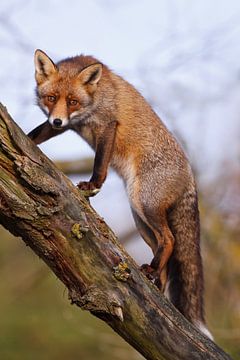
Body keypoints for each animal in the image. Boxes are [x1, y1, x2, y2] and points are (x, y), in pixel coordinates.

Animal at [28, 49, 212, 338]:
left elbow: (100, 163)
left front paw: (93, 185)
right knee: (164, 250)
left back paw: (152, 272)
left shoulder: (107, 124)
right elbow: (33, 135)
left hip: (144, 204)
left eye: (72, 101)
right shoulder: (63, 126)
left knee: (170, 239)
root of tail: (191, 177)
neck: (92, 102)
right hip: (141, 221)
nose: (57, 119)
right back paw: (155, 280)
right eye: (51, 98)